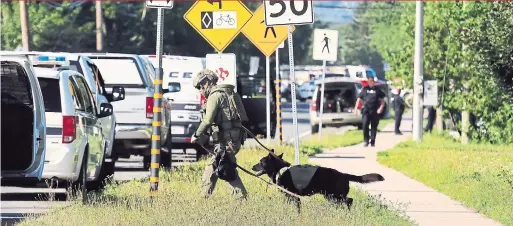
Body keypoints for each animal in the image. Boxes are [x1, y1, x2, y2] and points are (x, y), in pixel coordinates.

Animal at [252, 151, 384, 213]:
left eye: (260, 162)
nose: (252, 167)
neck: (280, 170)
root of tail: (343, 174)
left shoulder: (294, 197)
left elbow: (297, 209)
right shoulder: (291, 197)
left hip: (334, 196)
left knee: (349, 201)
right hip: (331, 197)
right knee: (347, 201)